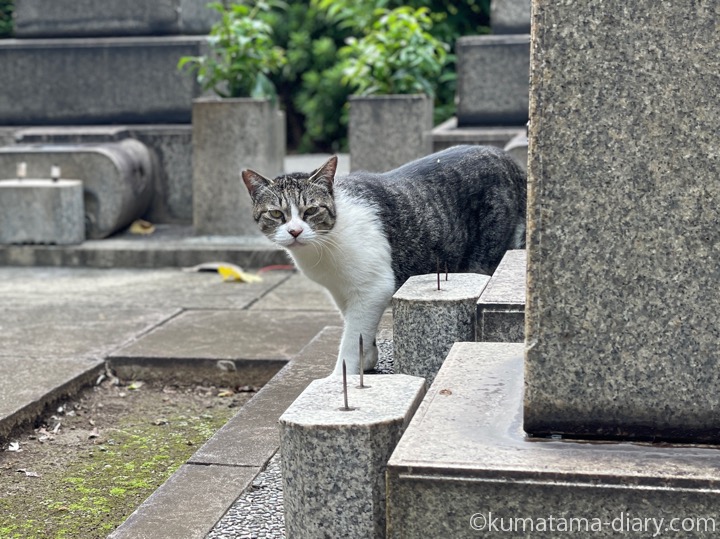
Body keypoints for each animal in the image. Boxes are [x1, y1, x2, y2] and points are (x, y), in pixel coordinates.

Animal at [245, 146, 524, 378]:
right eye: (276, 214)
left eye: (311, 210)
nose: (295, 231)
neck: (321, 251)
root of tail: (508, 158)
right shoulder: (341, 291)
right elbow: (357, 327)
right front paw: (367, 357)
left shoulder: (373, 288)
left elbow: (352, 335)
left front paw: (339, 379)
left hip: (487, 254)